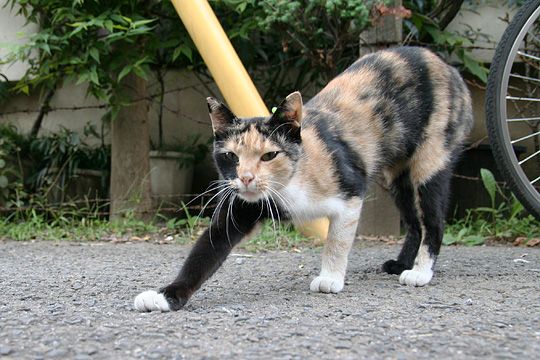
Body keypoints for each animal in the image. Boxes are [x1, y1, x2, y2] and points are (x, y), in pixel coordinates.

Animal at [134, 46, 472, 312]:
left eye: (269, 155)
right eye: (231, 156)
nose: (246, 178)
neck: (292, 183)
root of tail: (446, 66)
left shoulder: (351, 193)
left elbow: (337, 241)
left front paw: (330, 278)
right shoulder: (241, 207)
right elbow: (203, 255)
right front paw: (166, 296)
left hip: (431, 159)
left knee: (432, 219)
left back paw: (420, 272)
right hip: (397, 176)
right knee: (413, 221)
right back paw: (402, 263)